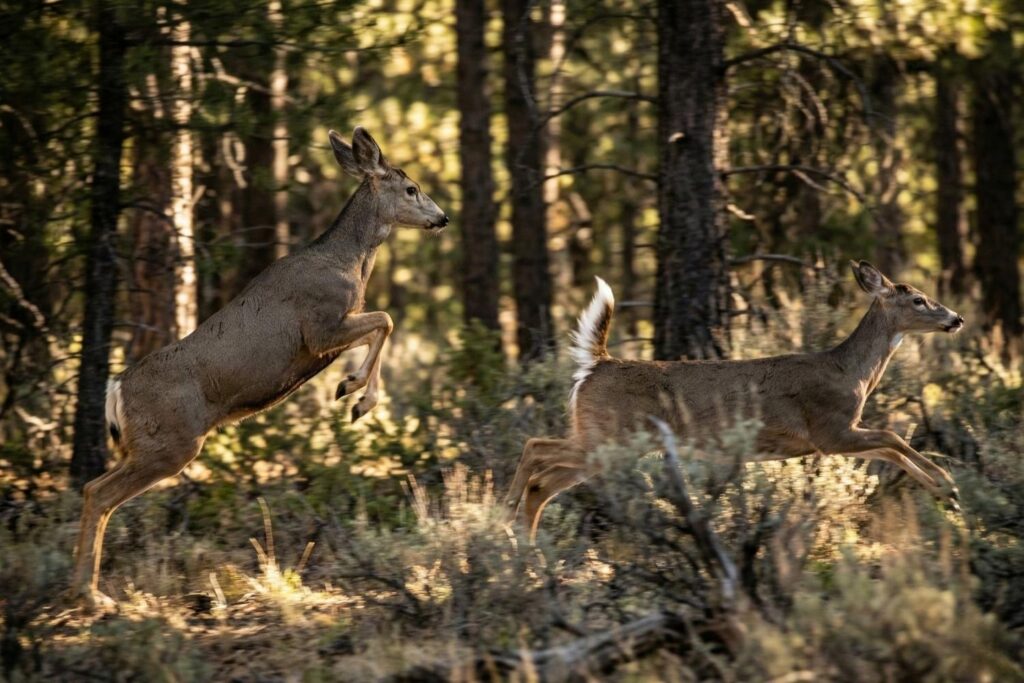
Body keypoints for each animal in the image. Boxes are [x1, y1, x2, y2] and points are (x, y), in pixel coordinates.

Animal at [70, 127, 448, 611]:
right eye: (411, 188)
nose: (442, 218)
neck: (349, 263)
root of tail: (116, 389)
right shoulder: (319, 326)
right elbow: (386, 319)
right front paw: (356, 394)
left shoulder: (326, 336)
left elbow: (381, 324)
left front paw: (351, 390)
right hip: (171, 443)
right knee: (100, 494)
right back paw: (91, 595)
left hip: (142, 445)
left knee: (91, 489)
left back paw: (84, 590)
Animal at [506, 261, 965, 540]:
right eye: (918, 299)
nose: (957, 318)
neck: (849, 372)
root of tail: (597, 364)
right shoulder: (829, 429)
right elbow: (893, 437)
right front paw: (949, 484)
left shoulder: (833, 437)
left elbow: (890, 448)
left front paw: (944, 493)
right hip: (611, 437)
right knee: (535, 449)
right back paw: (507, 517)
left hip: (607, 442)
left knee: (544, 480)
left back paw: (524, 545)